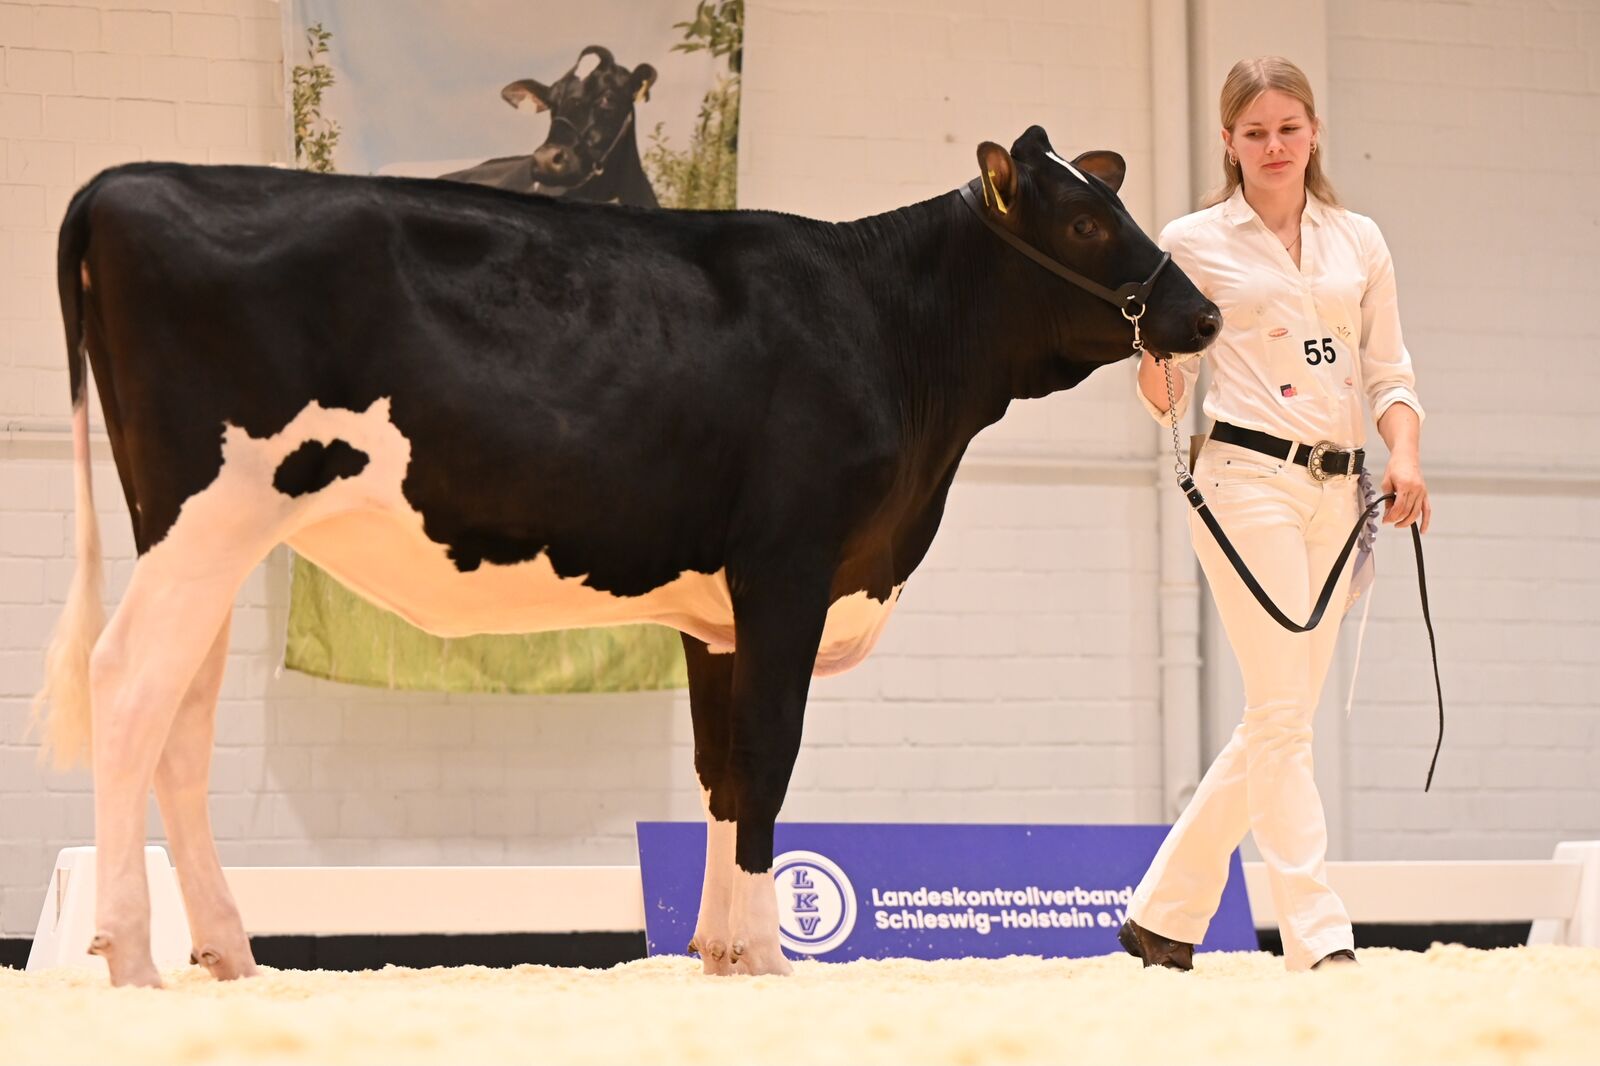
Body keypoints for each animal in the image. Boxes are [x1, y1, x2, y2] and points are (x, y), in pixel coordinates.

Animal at [35, 124, 1219, 987]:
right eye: (1083, 219)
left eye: (1112, 202)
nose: (1201, 312)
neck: (884, 329)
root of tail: (127, 181)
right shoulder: (787, 568)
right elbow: (768, 758)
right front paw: (770, 956)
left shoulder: (717, 613)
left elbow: (720, 770)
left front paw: (716, 948)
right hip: (206, 513)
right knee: (126, 686)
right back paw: (132, 957)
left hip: (207, 537)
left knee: (180, 721)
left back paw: (228, 953)